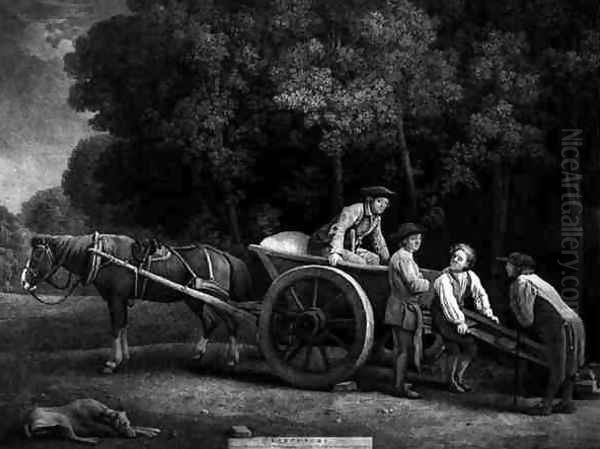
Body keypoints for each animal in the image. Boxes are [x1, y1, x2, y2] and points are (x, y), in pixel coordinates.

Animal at [21, 233, 253, 372]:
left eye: (37, 255)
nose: (24, 281)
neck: (103, 255)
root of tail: (223, 254)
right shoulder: (120, 299)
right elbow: (123, 326)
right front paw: (124, 357)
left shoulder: (115, 299)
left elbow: (116, 327)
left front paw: (112, 362)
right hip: (196, 300)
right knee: (212, 323)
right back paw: (201, 354)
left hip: (213, 299)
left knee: (230, 321)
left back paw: (231, 358)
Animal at [22, 398, 159, 442]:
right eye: (123, 424)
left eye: (127, 423)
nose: (132, 435)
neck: (103, 413)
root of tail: (27, 419)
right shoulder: (114, 432)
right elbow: (137, 428)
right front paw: (149, 433)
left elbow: (138, 426)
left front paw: (153, 430)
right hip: (62, 418)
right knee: (73, 437)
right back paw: (91, 440)